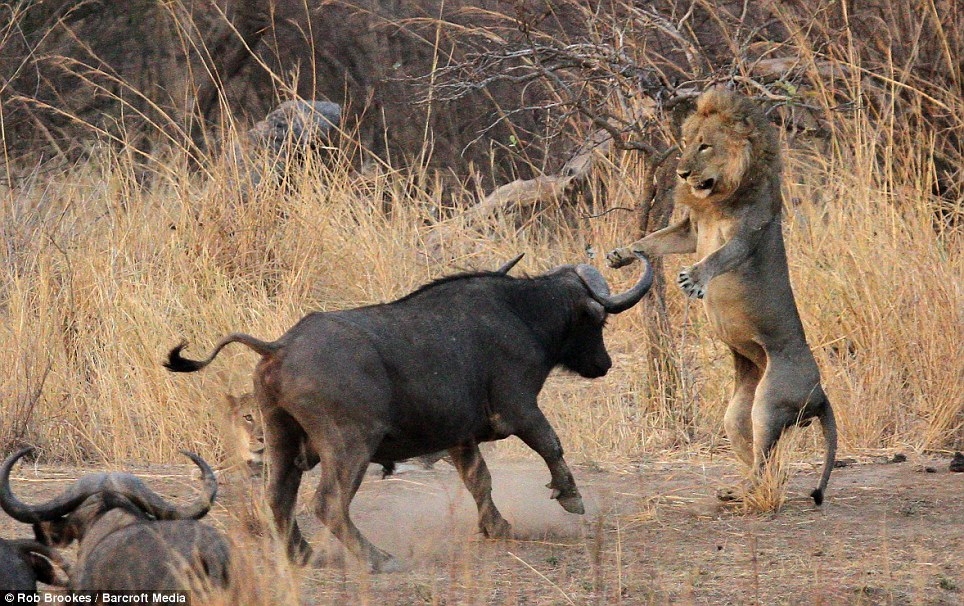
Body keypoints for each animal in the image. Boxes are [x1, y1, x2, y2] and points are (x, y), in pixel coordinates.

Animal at [166, 258, 652, 576]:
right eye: (599, 322)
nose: (604, 364)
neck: (523, 313)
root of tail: (279, 347)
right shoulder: (519, 409)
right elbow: (551, 443)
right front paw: (571, 497)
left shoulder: (460, 437)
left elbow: (479, 480)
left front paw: (497, 526)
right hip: (350, 447)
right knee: (327, 504)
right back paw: (379, 559)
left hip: (282, 442)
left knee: (277, 501)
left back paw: (304, 557)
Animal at [612, 88, 836, 506]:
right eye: (685, 144)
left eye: (704, 146)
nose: (681, 173)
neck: (717, 195)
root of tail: (820, 393)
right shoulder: (688, 230)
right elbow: (653, 240)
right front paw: (621, 253)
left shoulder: (746, 236)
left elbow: (718, 257)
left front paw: (695, 279)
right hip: (738, 412)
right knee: (763, 459)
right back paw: (737, 490)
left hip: (770, 401)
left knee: (766, 459)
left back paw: (749, 496)